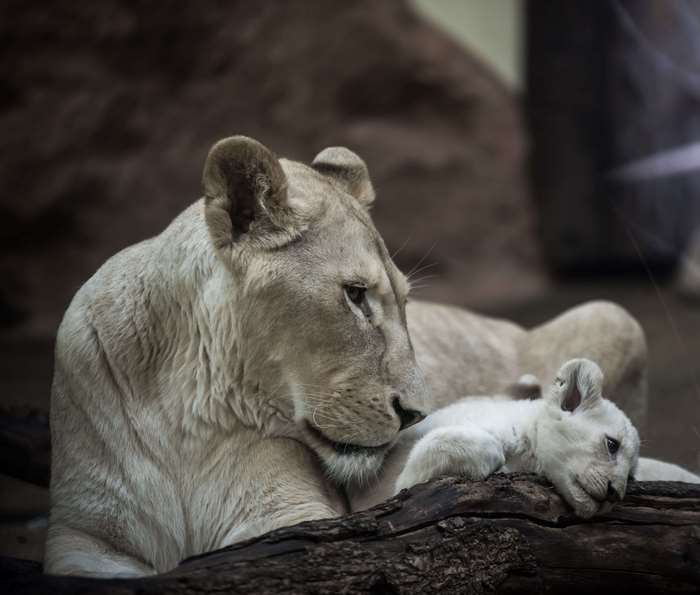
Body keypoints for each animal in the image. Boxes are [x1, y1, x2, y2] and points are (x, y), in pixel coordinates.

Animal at [45, 136, 648, 577]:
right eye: (355, 296)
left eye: (404, 301)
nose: (417, 415)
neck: (181, 402)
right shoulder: (81, 537)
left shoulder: (288, 518)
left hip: (616, 315)